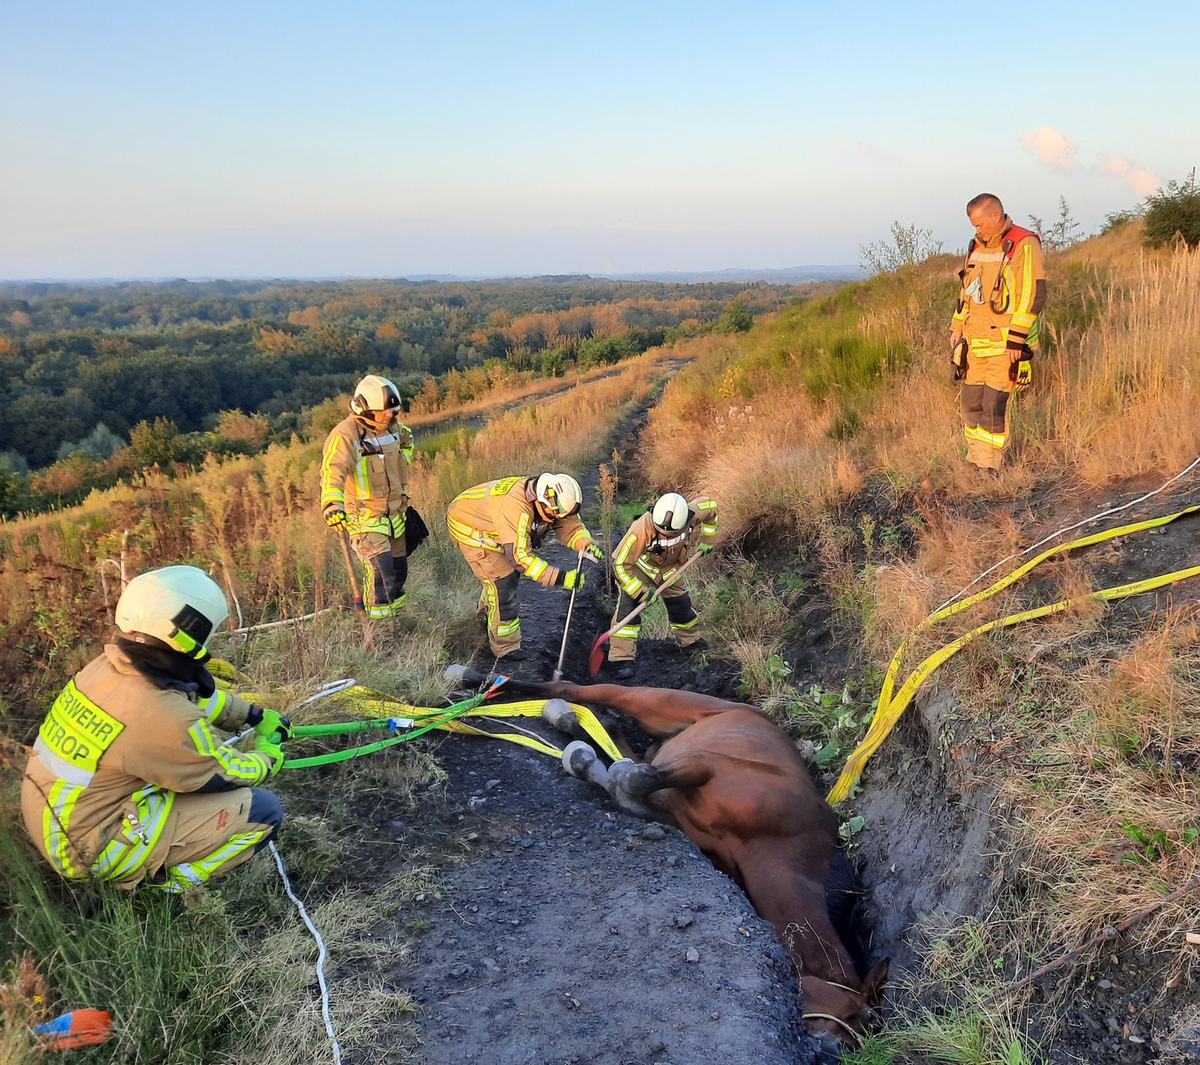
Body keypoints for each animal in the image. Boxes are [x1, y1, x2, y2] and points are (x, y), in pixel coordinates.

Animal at [446, 671, 888, 1050]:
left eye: (862, 1031)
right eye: (856, 1015)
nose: (829, 1050)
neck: (783, 841)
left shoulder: (679, 816)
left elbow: (625, 784)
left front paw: (585, 761)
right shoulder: (704, 765)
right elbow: (631, 778)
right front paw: (582, 760)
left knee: (615, 736)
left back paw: (571, 724)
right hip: (657, 702)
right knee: (579, 690)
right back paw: (487, 684)